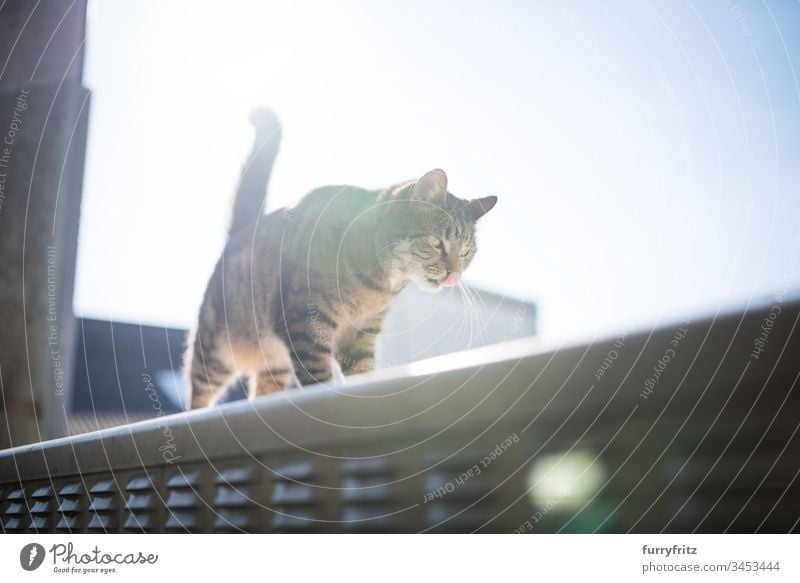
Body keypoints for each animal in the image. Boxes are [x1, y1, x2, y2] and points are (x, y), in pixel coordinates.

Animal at [189, 110, 500, 410]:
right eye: (438, 243)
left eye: (466, 252)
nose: (454, 275)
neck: (378, 287)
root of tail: (242, 231)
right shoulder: (305, 324)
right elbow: (319, 379)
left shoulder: (362, 333)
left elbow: (363, 373)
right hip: (214, 349)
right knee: (197, 391)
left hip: (274, 365)